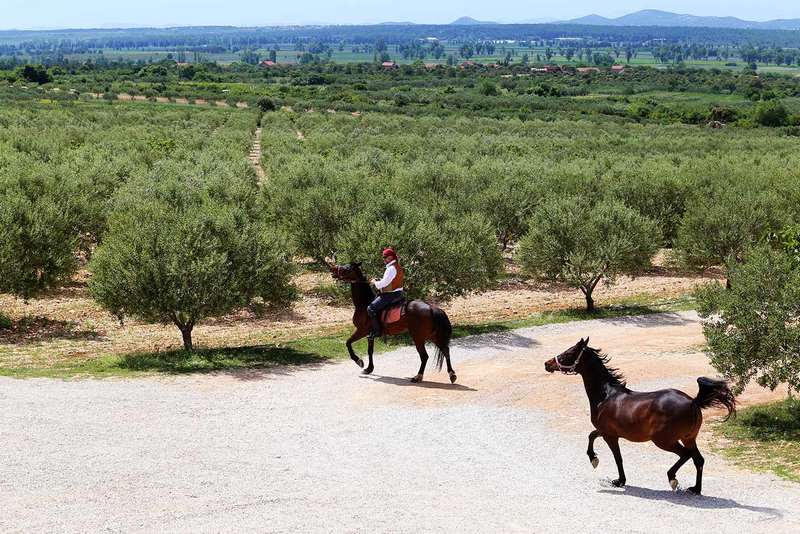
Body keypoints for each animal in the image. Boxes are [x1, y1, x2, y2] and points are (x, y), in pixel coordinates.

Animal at [328, 260, 456, 384]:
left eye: (347, 268)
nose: (333, 270)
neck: (364, 304)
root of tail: (432, 308)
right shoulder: (370, 335)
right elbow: (370, 351)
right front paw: (369, 369)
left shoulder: (362, 331)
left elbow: (348, 343)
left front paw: (359, 361)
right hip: (433, 336)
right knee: (446, 351)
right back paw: (452, 375)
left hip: (418, 337)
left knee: (425, 356)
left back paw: (417, 377)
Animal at [544, 342, 736, 496]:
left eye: (569, 353)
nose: (547, 364)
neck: (606, 395)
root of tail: (693, 401)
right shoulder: (607, 431)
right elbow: (591, 435)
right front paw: (594, 459)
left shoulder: (610, 436)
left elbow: (617, 457)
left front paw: (618, 479)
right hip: (688, 438)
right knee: (698, 460)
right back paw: (695, 489)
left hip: (664, 441)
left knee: (686, 455)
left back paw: (672, 478)